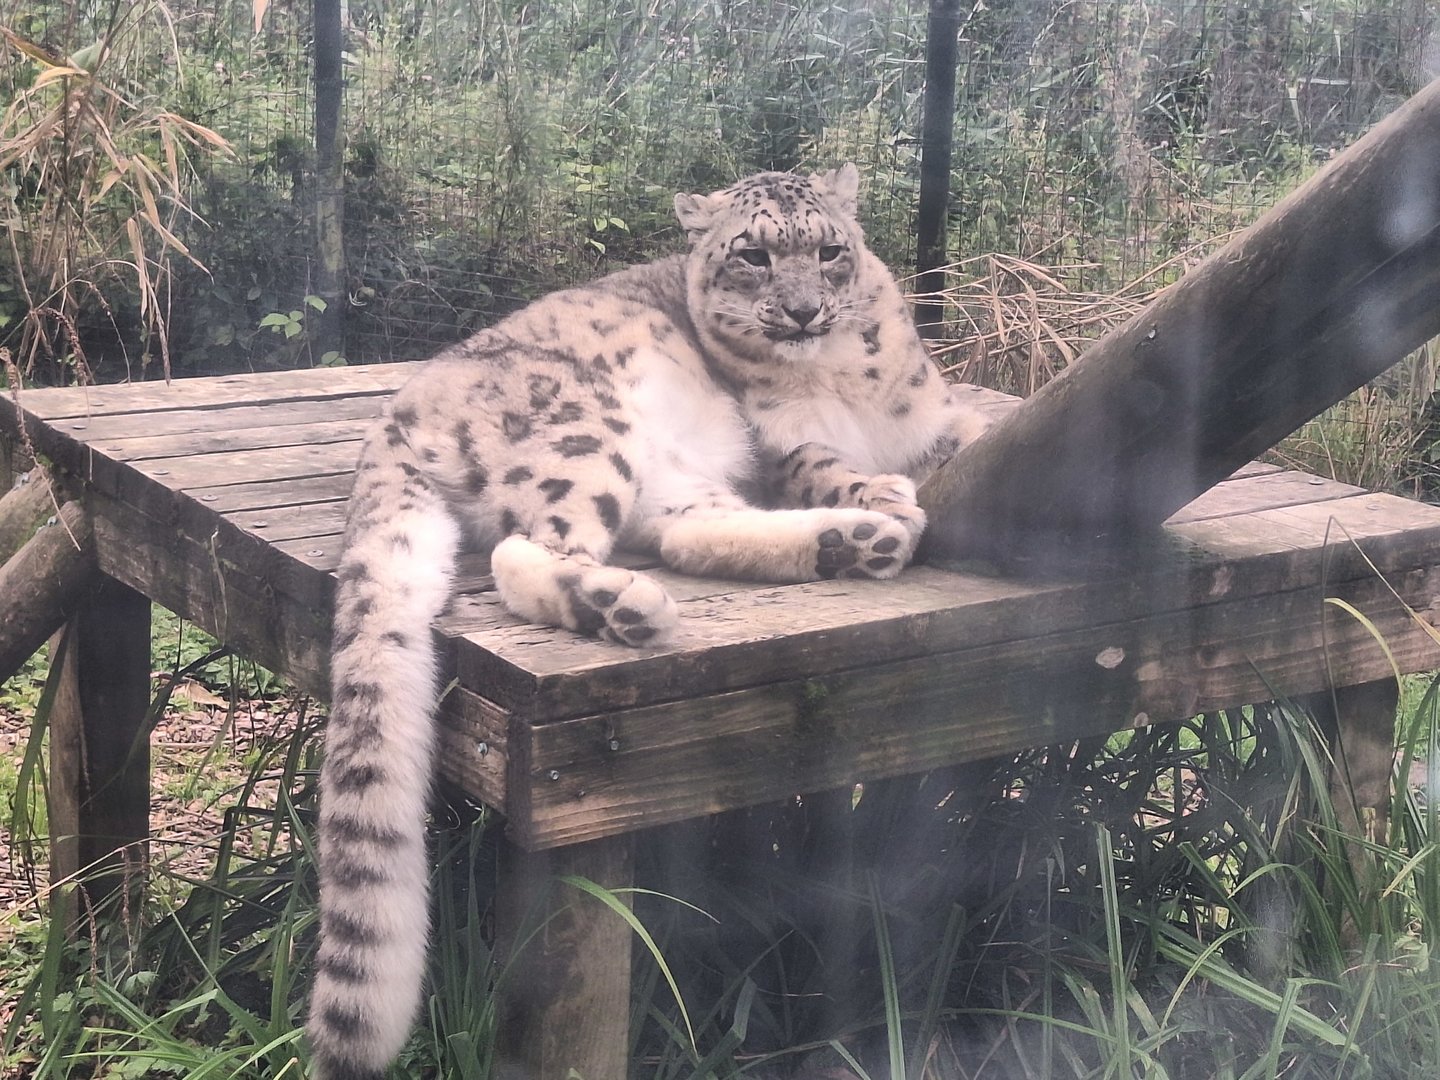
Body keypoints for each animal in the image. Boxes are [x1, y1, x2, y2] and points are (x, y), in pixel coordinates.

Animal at [307, 163, 1002, 1078]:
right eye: (753, 255)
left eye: (829, 250)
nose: (803, 311)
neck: (840, 380)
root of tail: (392, 421)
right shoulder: (783, 447)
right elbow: (829, 462)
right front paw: (879, 487)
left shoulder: (936, 420)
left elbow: (976, 426)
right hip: (588, 435)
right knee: (531, 548)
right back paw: (631, 603)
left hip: (675, 481)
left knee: (685, 533)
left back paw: (853, 544)